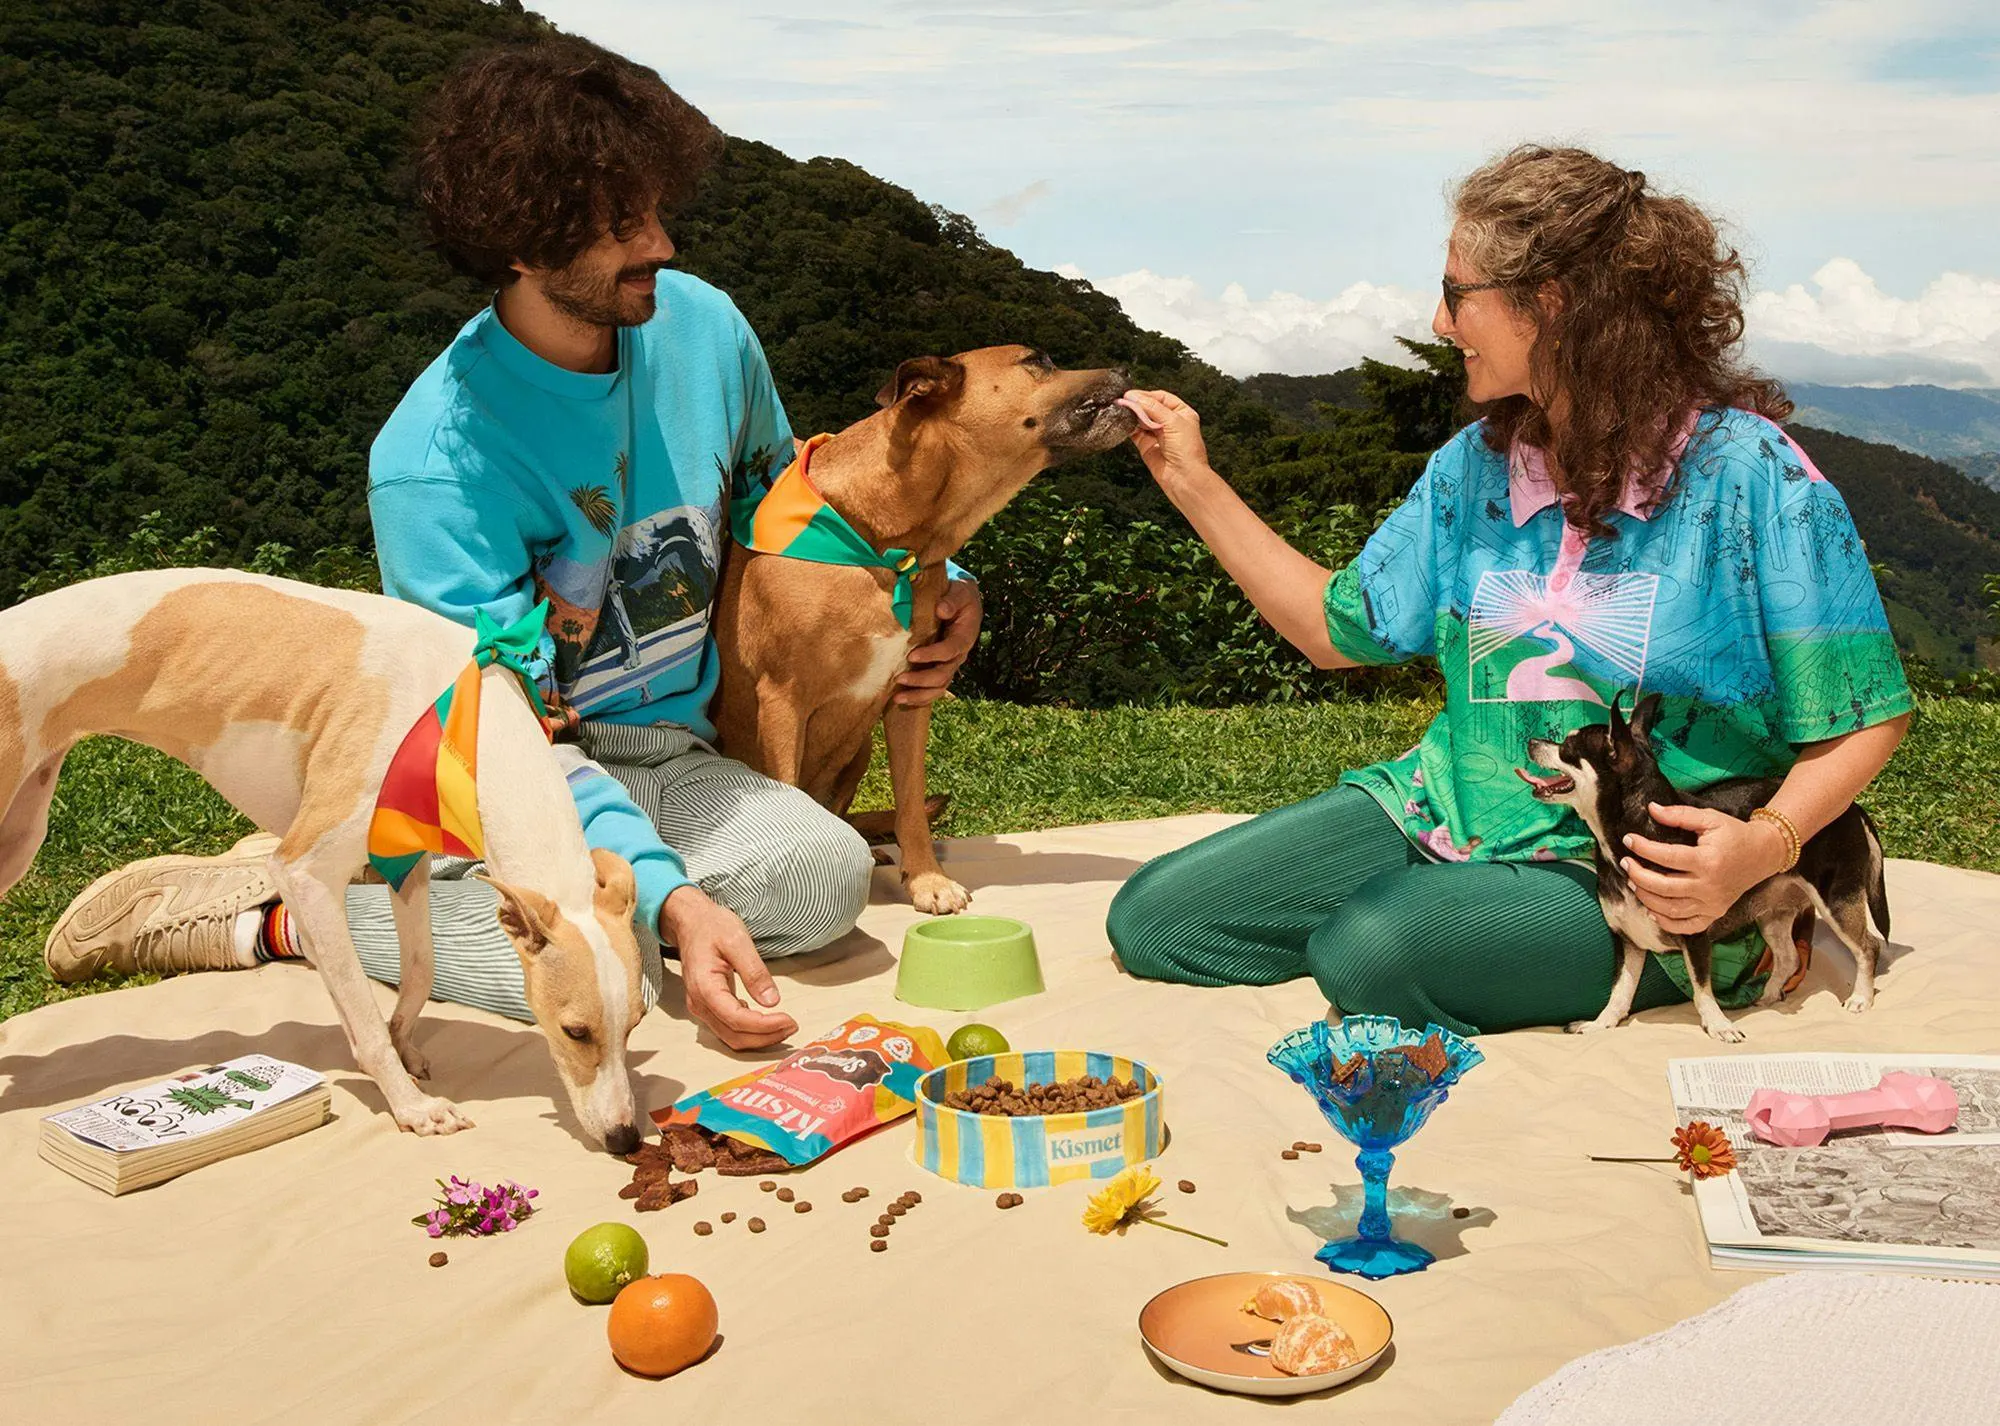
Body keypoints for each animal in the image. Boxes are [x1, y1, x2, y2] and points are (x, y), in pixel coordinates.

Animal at [0, 564, 648, 1144]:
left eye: (635, 1025)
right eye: (575, 1031)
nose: (624, 1139)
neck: (464, 726)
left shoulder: (404, 866)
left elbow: (416, 973)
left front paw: (404, 1044)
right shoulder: (305, 871)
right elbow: (362, 1012)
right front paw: (412, 1108)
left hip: (20, 836)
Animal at [712, 340, 1136, 908]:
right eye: (1038, 360)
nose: (1127, 369)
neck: (892, 548)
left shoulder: (911, 699)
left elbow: (911, 803)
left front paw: (926, 878)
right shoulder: (782, 701)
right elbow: (787, 790)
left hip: (861, 749)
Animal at [1512, 684, 1888, 1040]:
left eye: (1568, 748)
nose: (1531, 741)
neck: (1630, 835)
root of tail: (1853, 808)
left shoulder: (1695, 937)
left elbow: (1701, 989)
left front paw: (1718, 1025)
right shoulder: (1628, 942)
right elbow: (1620, 992)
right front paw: (1600, 1024)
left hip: (1836, 901)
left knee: (1867, 947)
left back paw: (1861, 997)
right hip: (1773, 915)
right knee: (1788, 956)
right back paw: (1768, 996)